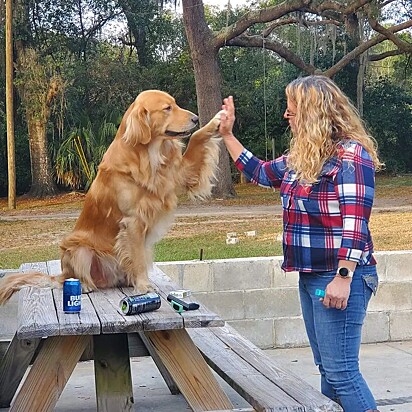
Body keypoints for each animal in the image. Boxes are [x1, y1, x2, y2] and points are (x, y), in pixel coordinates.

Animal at [0, 90, 222, 302]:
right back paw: (85, 286)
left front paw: (216, 121)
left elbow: (196, 138)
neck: (147, 155)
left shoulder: (182, 173)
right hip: (78, 248)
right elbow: (138, 259)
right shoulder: (133, 221)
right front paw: (143, 286)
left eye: (175, 104)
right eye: (167, 108)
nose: (195, 118)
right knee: (72, 277)